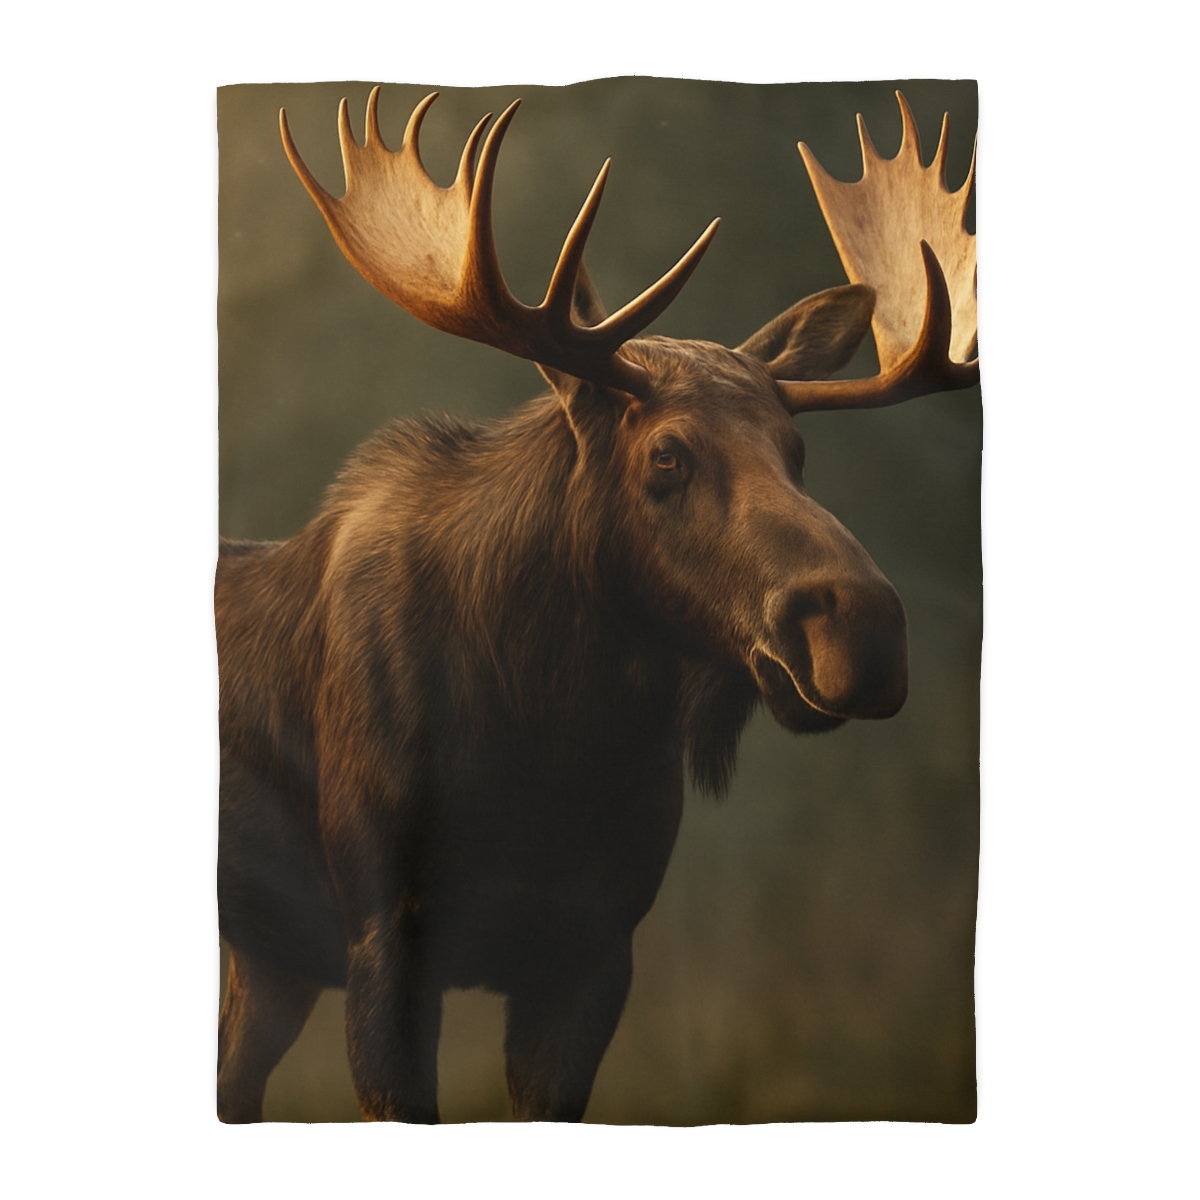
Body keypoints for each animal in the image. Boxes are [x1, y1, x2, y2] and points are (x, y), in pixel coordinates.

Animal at [216, 86, 978, 1124]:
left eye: (797, 450)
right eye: (666, 454)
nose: (862, 628)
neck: (550, 744)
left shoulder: (592, 954)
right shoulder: (384, 940)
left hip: (271, 960)